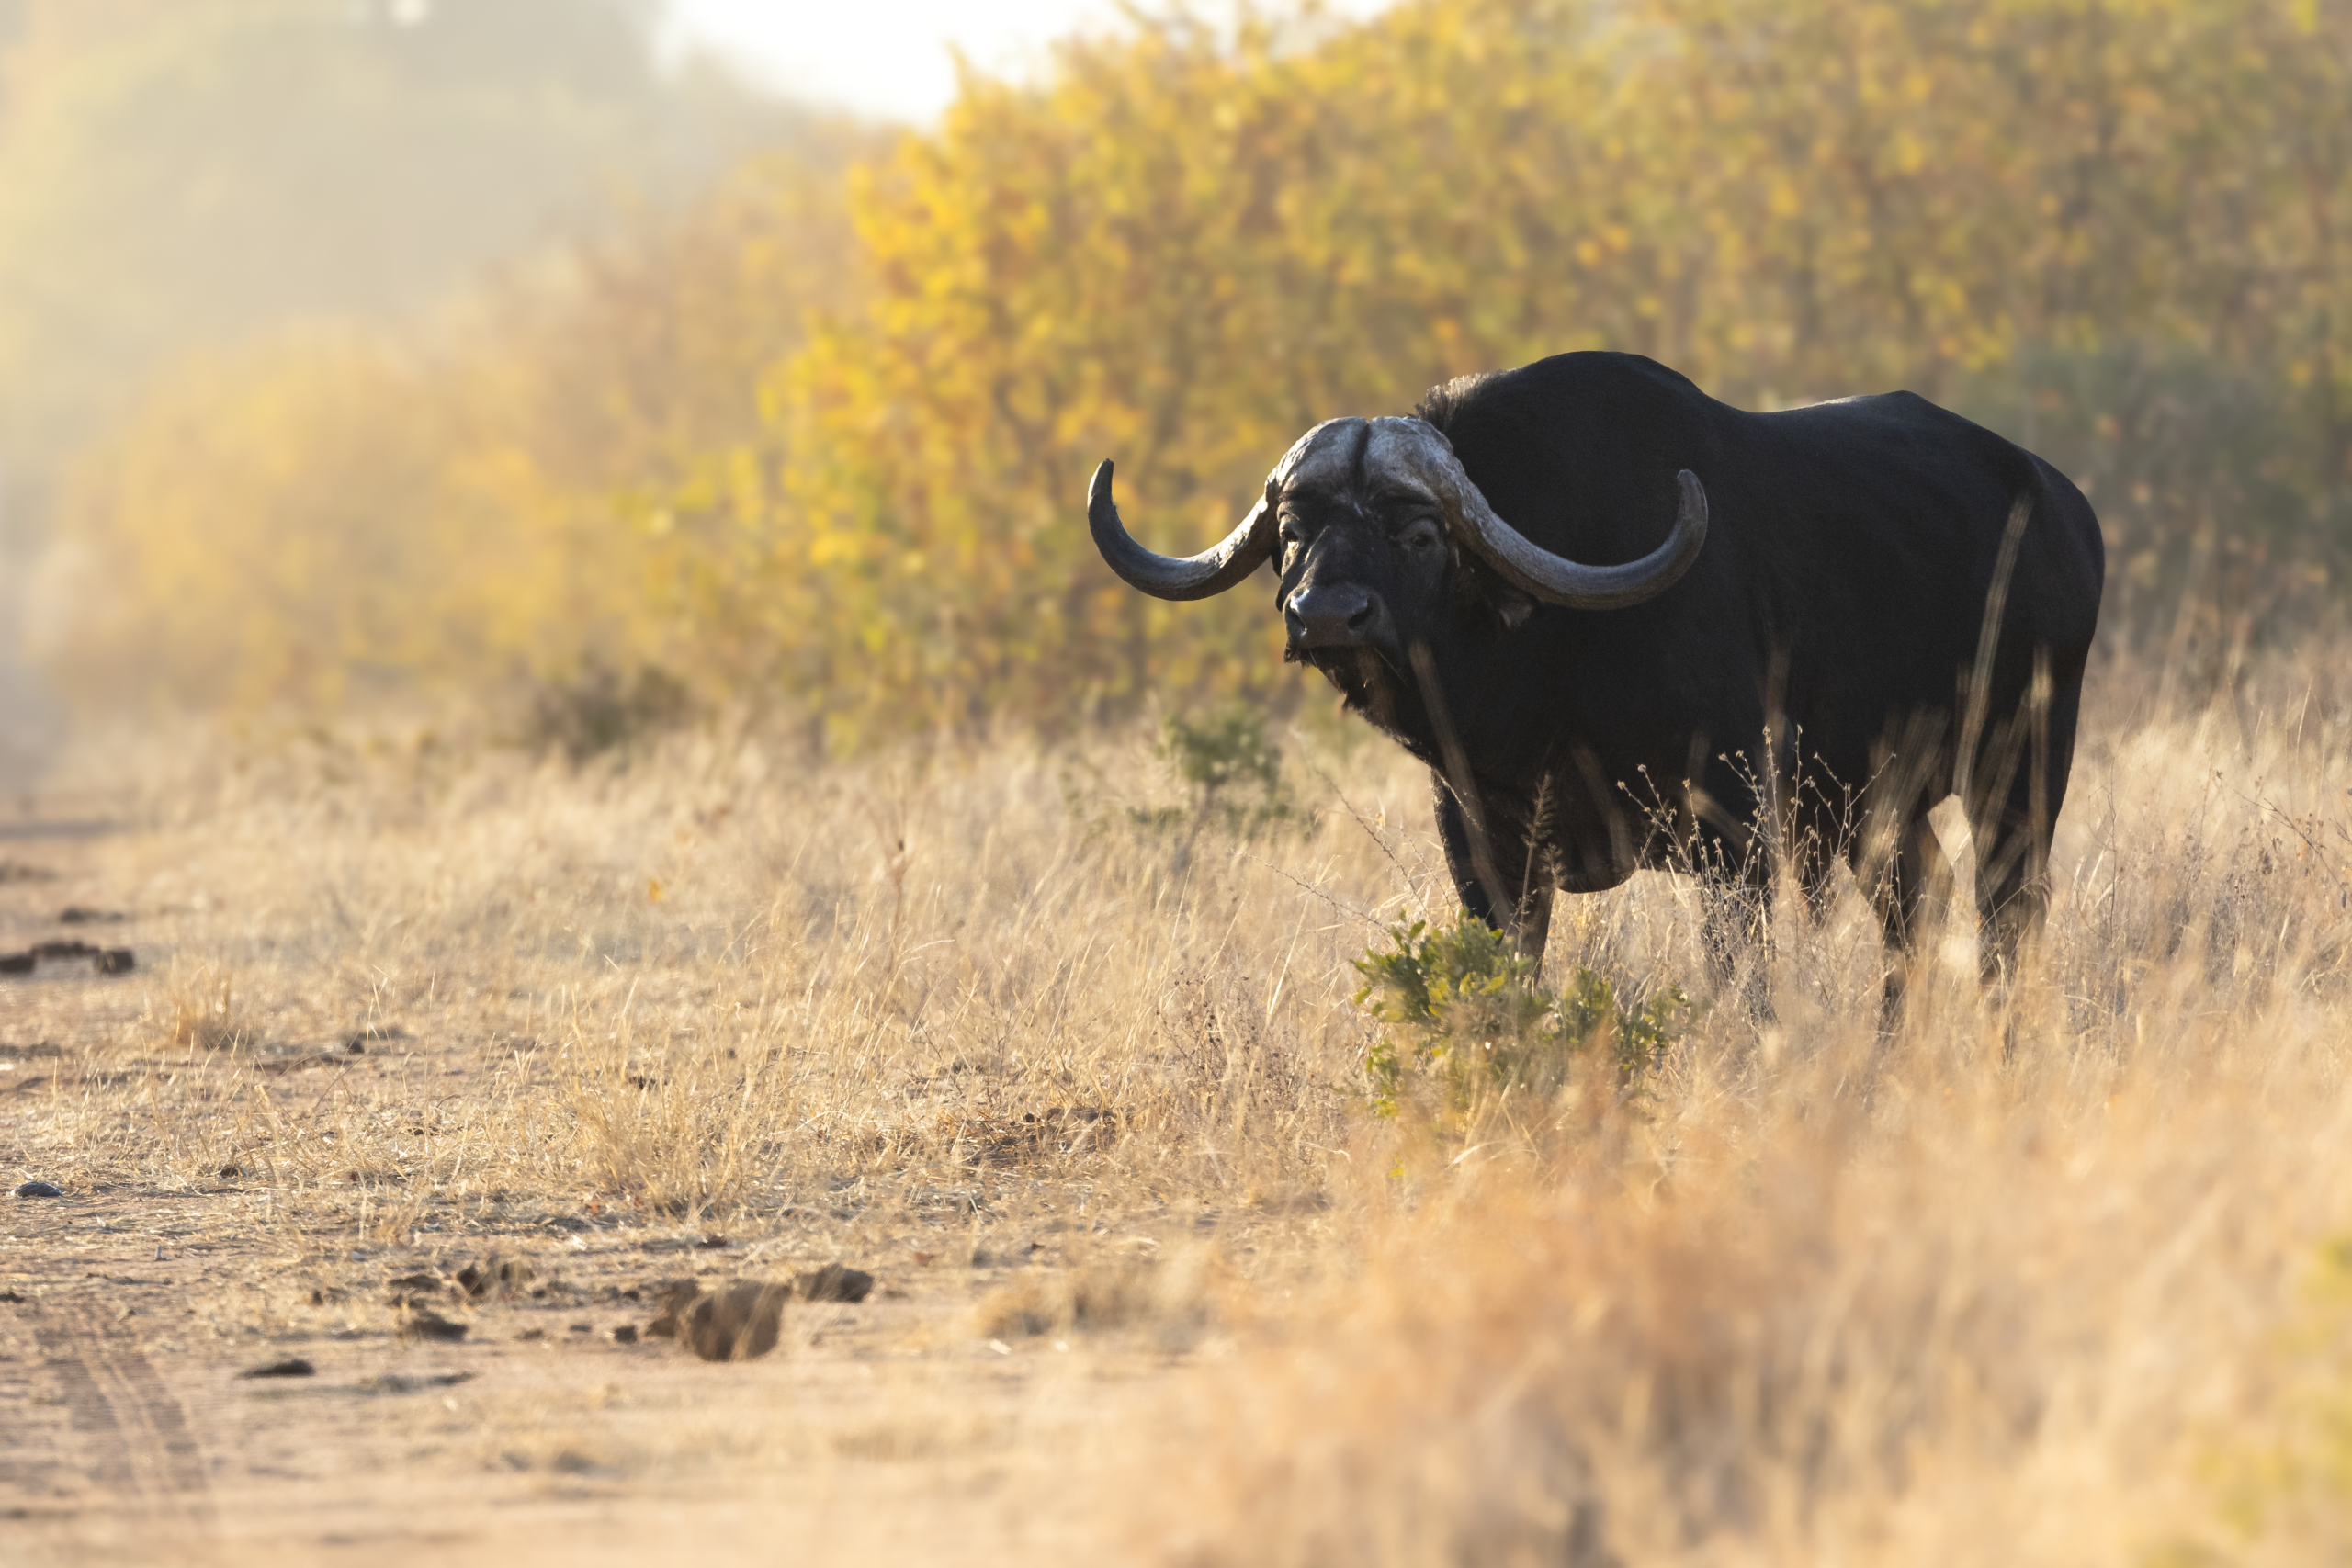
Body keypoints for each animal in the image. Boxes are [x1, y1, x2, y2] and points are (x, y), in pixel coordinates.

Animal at [1086, 351, 2104, 982]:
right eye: (1294, 533)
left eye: (1418, 534)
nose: (1325, 616)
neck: (1543, 680)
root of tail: (2062, 505)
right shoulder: (1484, 852)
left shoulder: (1734, 835)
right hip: (1874, 807)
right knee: (1917, 913)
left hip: (2020, 767)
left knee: (2006, 917)